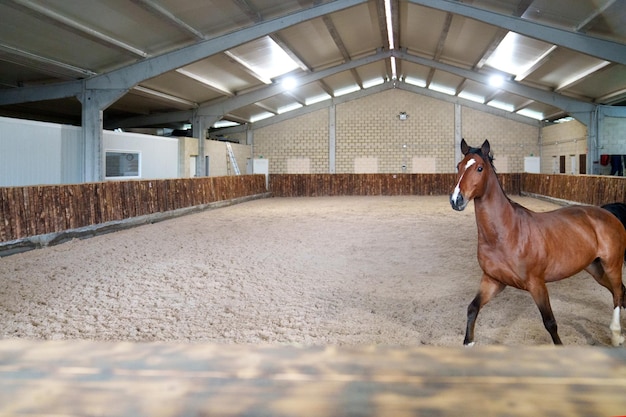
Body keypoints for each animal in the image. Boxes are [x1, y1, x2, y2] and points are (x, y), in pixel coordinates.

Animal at [448, 140, 624, 344]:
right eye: (458, 166)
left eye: (479, 168)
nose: (456, 200)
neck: (506, 233)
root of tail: (608, 213)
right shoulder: (492, 281)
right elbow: (472, 309)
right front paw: (469, 342)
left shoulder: (537, 284)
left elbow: (550, 323)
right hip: (595, 268)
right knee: (619, 292)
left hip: (612, 265)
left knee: (618, 293)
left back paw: (616, 335)